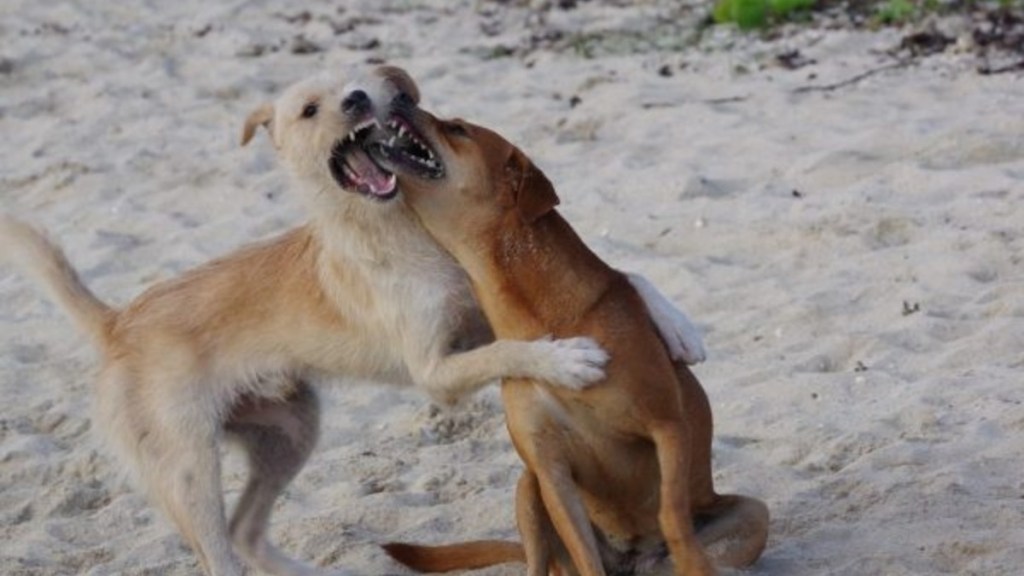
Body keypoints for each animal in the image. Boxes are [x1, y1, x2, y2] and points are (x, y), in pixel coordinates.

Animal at [374, 105, 770, 569]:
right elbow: (584, 551)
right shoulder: (550, 472)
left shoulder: (667, 426)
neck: (537, 317)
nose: (396, 101)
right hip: (526, 488)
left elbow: (673, 515)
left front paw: (690, 559)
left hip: (750, 514)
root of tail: (633, 558)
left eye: (457, 128)